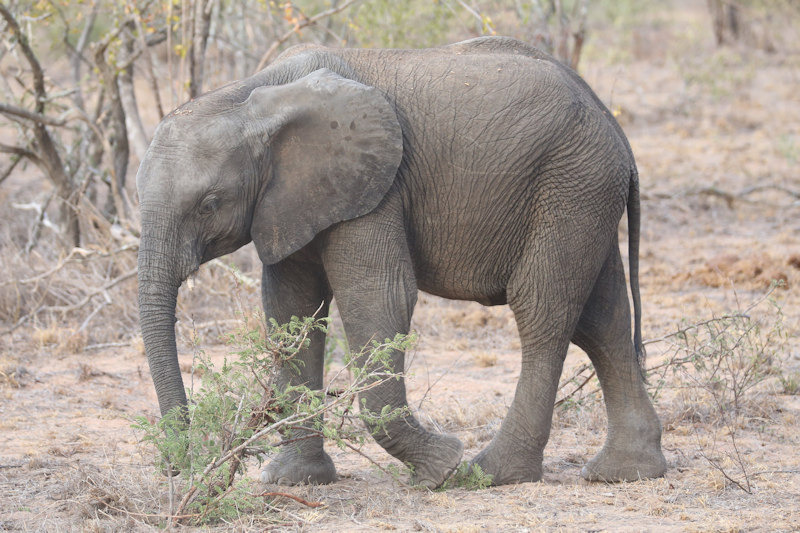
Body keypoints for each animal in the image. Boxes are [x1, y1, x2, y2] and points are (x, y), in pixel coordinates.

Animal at [134, 35, 664, 488]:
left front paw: (441, 468)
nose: (181, 466)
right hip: (586, 190)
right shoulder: (290, 198)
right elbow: (290, 311)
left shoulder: (376, 187)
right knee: (604, 321)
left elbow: (379, 299)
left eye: (209, 204)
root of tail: (615, 126)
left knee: (543, 313)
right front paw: (294, 480)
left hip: (571, 185)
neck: (250, 98)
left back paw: (491, 472)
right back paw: (626, 472)